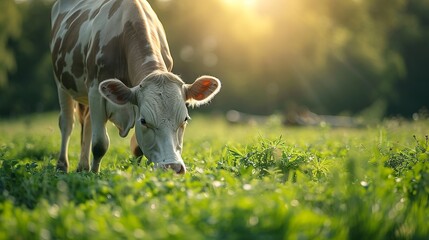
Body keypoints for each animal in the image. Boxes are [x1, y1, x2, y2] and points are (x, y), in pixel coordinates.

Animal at [50, 0, 221, 175]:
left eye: (185, 119)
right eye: (144, 121)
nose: (172, 167)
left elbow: (137, 148)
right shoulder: (95, 89)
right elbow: (99, 144)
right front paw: (94, 174)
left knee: (88, 123)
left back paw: (83, 167)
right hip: (61, 83)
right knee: (67, 123)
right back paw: (62, 165)